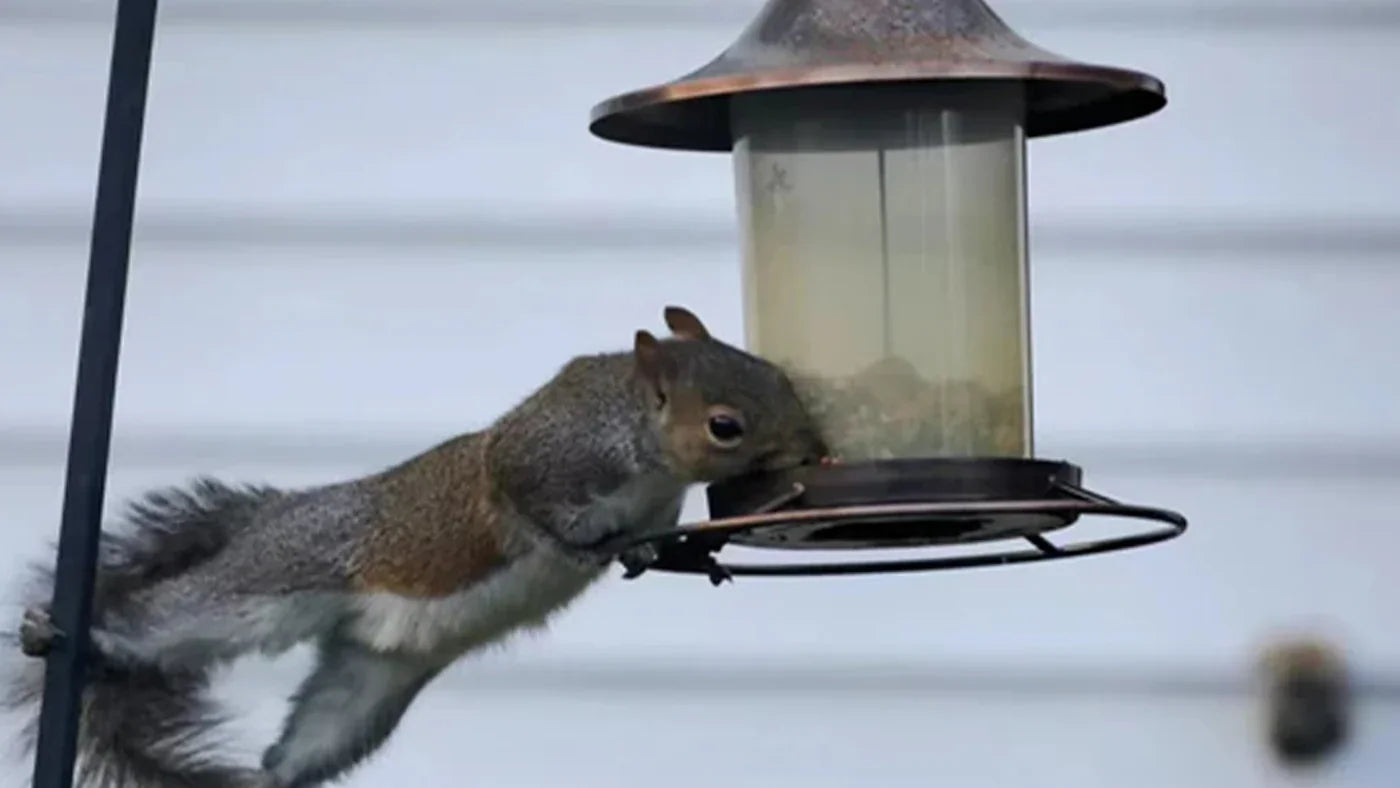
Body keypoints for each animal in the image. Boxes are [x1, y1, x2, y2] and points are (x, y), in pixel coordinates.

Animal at [2, 305, 827, 788]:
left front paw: (655, 555)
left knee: (304, 747)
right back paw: (76, 634)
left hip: (365, 692)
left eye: (776, 375)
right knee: (171, 620)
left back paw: (265, 779)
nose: (812, 447)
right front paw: (579, 543)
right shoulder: (543, 460)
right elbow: (525, 507)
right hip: (272, 577)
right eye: (726, 425)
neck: (639, 437)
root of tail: (286, 510)